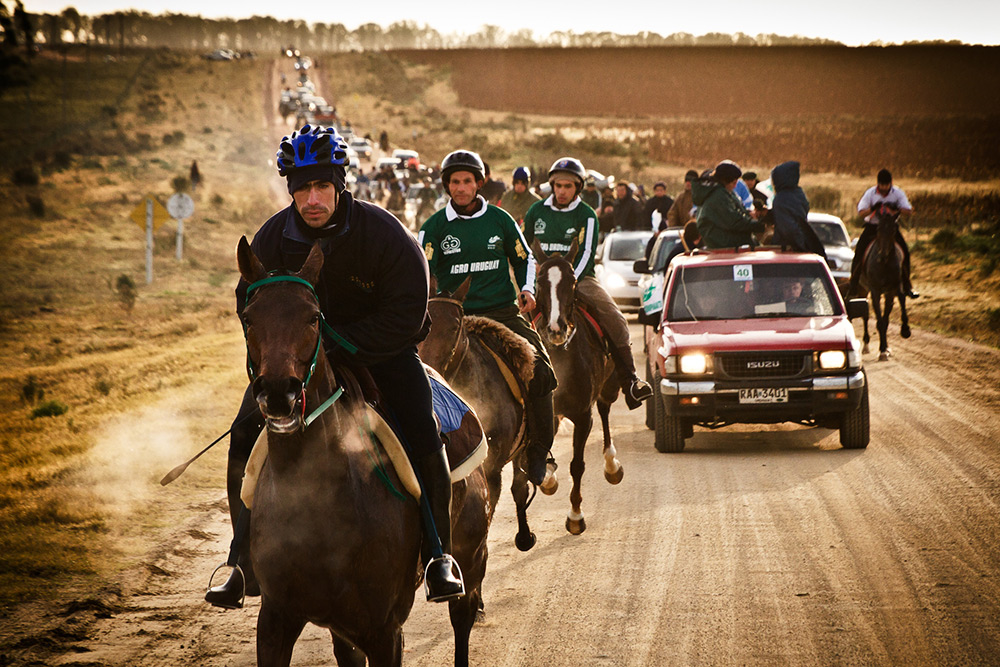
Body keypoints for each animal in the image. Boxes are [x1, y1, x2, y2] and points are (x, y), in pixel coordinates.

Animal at [233, 237, 488, 664]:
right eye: (249, 318)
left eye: (314, 317)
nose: (279, 393)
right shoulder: (276, 621)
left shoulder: (383, 630)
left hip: (471, 559)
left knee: (462, 621)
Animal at [532, 240, 624, 536]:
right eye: (539, 281)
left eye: (572, 281)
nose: (556, 328)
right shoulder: (546, 413)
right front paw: (549, 481)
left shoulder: (583, 416)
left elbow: (577, 465)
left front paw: (575, 516)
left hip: (610, 388)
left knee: (605, 412)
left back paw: (612, 465)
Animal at [856, 207, 912, 360]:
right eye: (878, 229)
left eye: (894, 229)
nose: (883, 254)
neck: (885, 264)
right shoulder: (875, 291)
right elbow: (880, 321)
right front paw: (882, 350)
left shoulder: (893, 289)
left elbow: (900, 303)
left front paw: (905, 330)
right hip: (864, 290)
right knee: (866, 316)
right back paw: (868, 345)